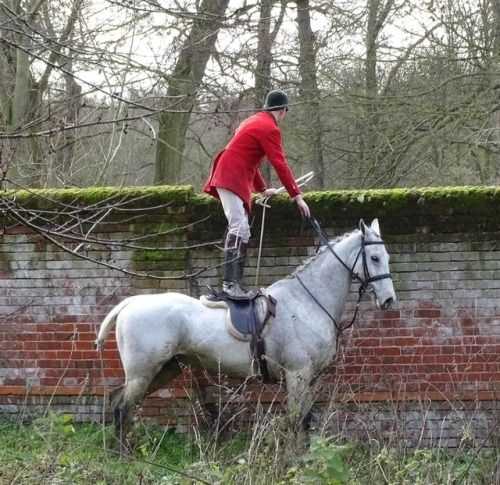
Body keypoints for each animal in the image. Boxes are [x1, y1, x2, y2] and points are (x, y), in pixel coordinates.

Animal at [95, 219, 396, 442]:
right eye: (374, 257)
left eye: (386, 257)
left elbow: (306, 421)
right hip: (143, 372)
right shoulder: (297, 374)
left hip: (166, 368)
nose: (389, 300)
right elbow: (296, 421)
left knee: (118, 401)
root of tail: (132, 302)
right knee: (122, 407)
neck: (308, 300)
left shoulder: (309, 378)